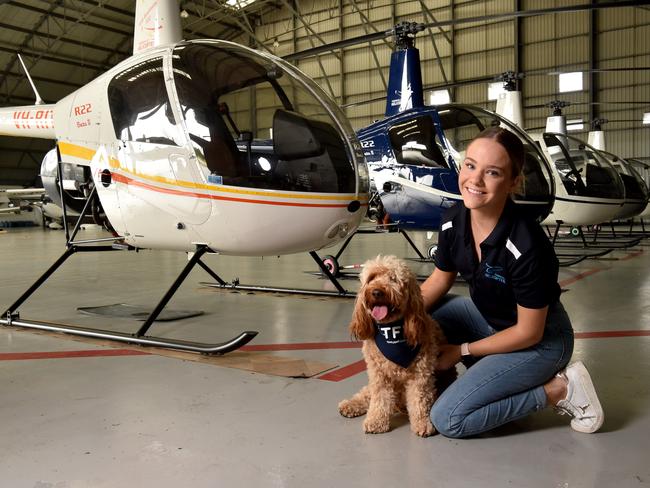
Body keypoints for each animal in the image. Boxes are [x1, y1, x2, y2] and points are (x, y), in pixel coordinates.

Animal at [336, 254, 448, 436]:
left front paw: (423, 423)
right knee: (367, 393)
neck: (392, 331)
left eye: (393, 279)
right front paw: (376, 421)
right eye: (371, 278)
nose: (376, 292)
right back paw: (350, 405)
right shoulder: (378, 374)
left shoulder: (421, 375)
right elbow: (379, 399)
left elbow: (420, 400)